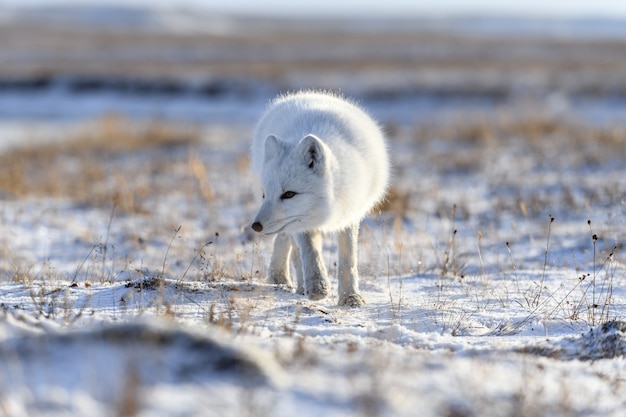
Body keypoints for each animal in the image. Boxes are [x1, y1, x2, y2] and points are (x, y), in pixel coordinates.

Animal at [247, 91, 386, 306]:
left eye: (289, 194)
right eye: (264, 194)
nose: (256, 226)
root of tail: (307, 93)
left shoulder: (349, 215)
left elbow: (348, 261)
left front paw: (350, 297)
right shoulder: (302, 224)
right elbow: (309, 252)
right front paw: (317, 287)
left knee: (283, 239)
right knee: (292, 249)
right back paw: (295, 284)